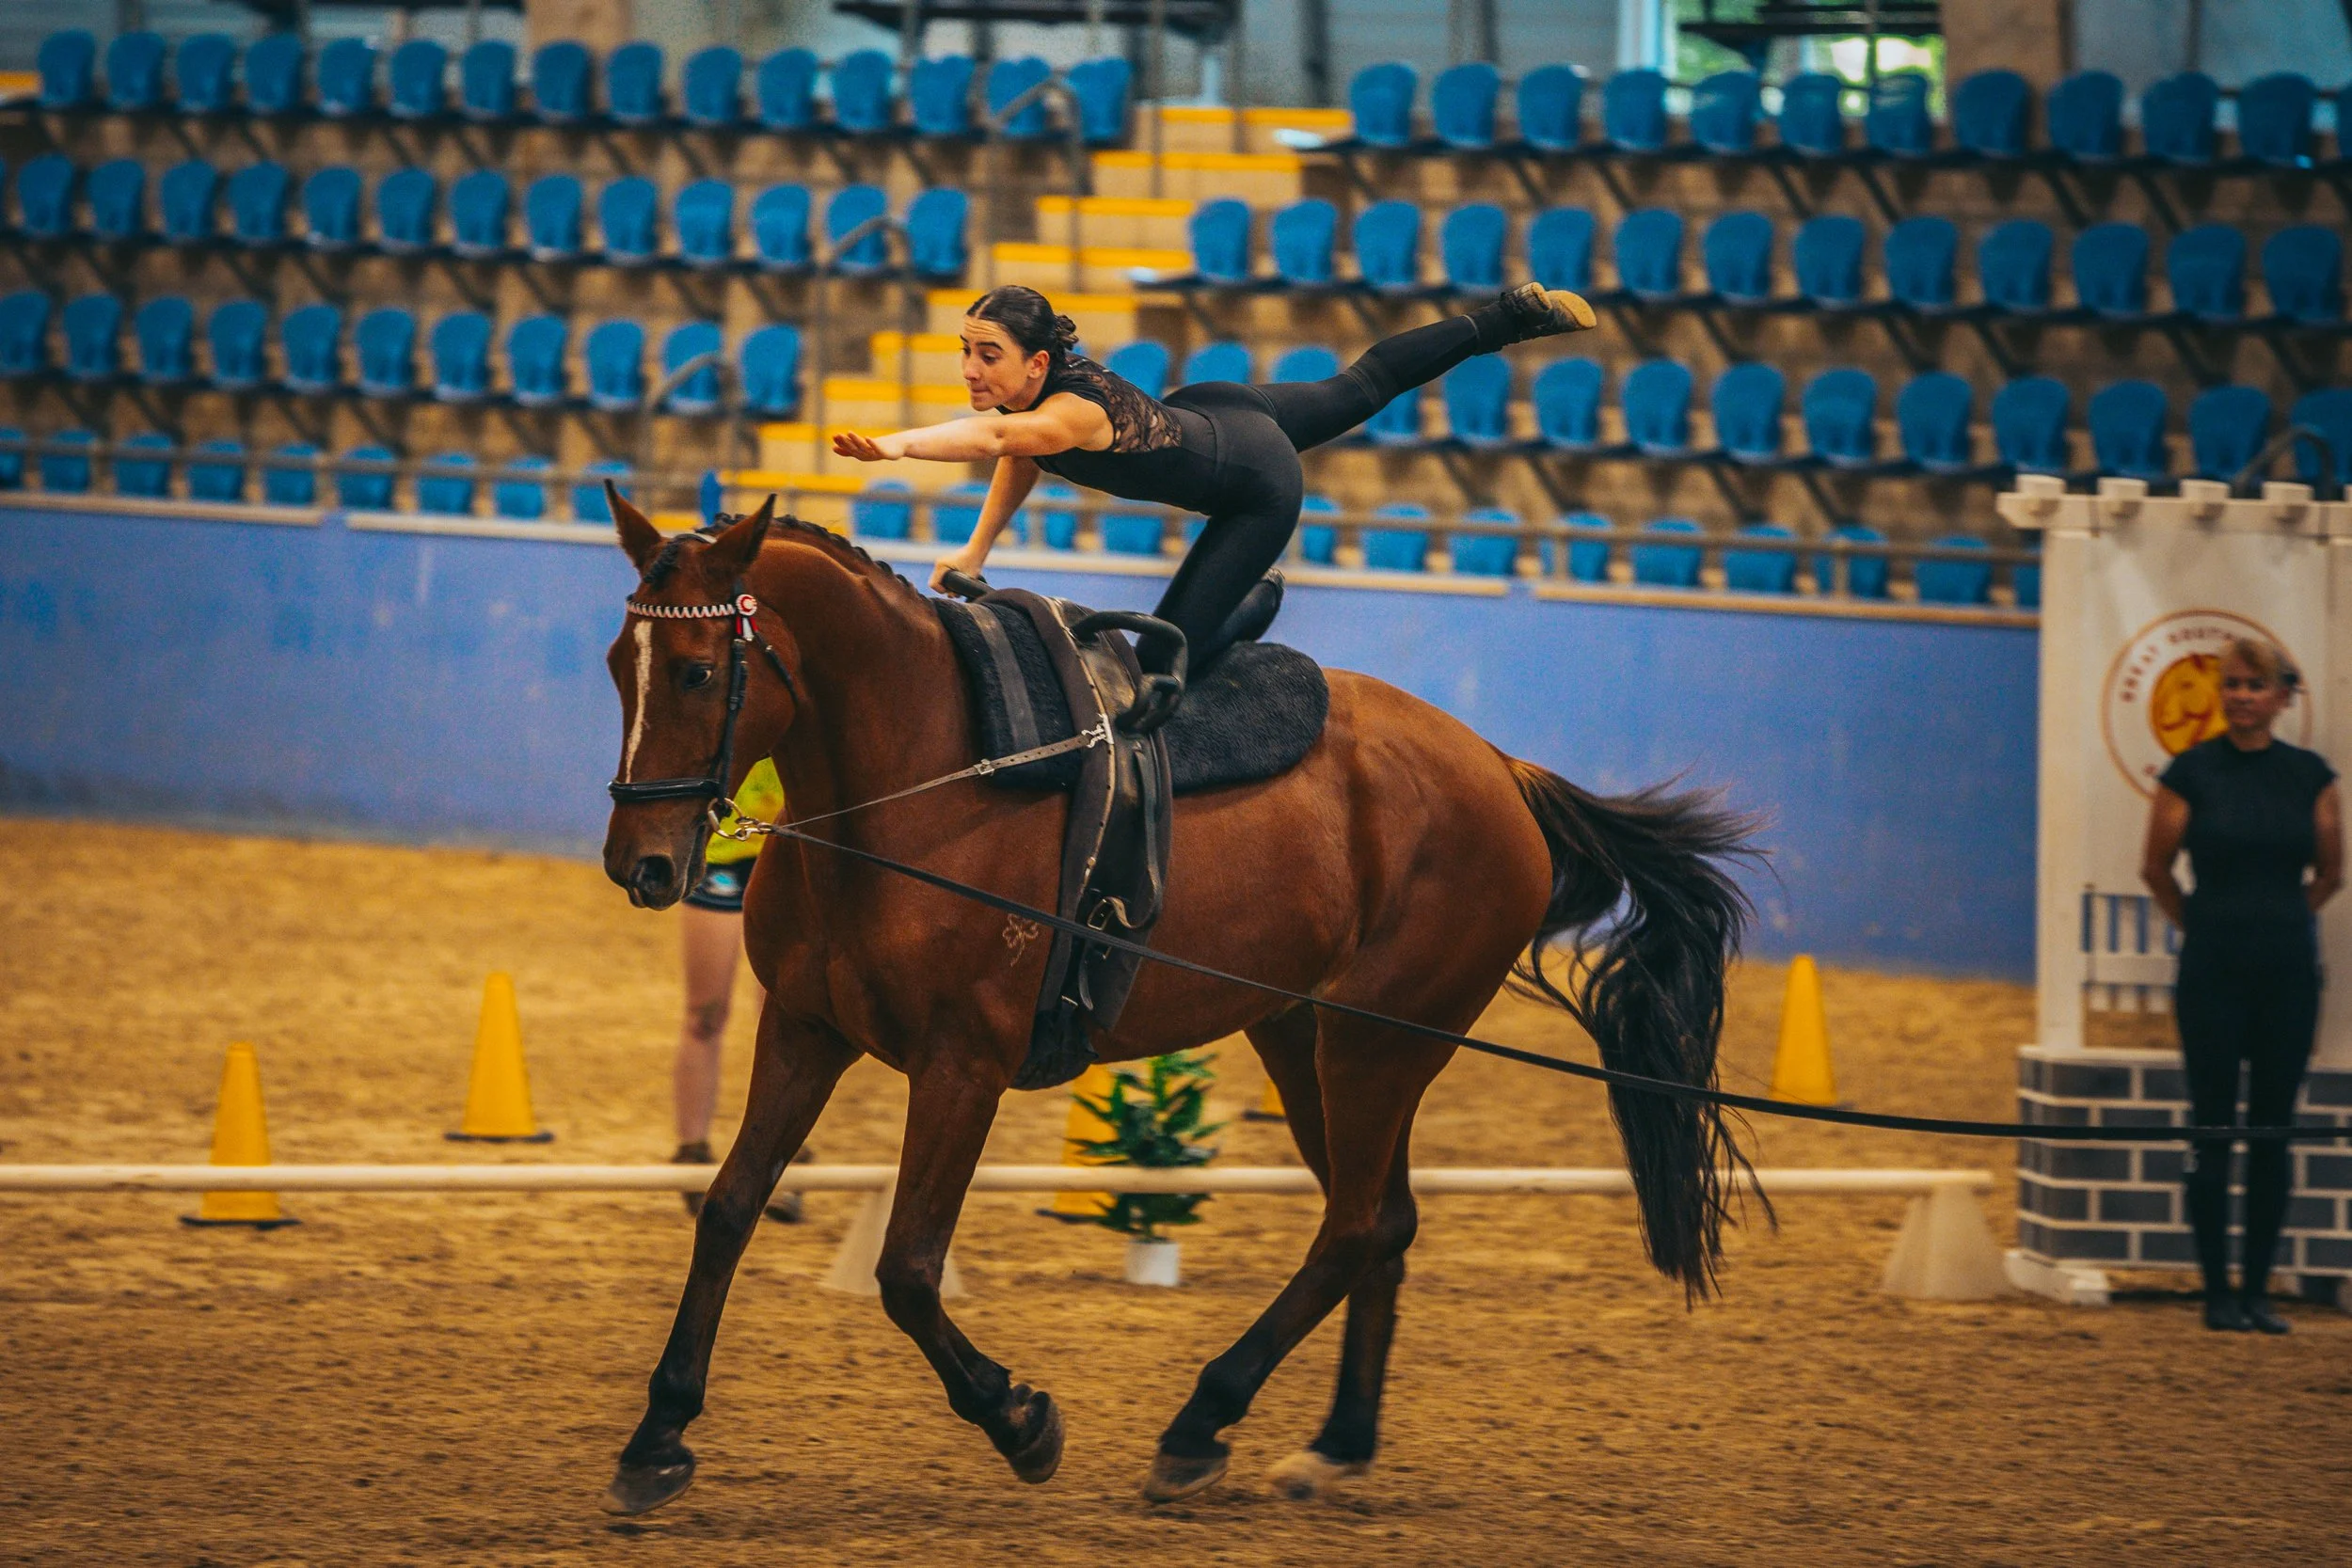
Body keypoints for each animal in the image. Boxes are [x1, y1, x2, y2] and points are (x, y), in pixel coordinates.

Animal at [596, 489, 1758, 1513]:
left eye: (697, 671)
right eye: (619, 666)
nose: (639, 865)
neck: (918, 783)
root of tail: (1501, 769)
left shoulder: (963, 1064)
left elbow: (909, 1269)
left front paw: (1022, 1421)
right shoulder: (804, 1030)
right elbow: (729, 1209)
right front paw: (656, 1439)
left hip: (1375, 1046)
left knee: (1353, 1223)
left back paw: (1201, 1423)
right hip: (1303, 1035)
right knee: (1382, 1220)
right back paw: (1333, 1447)